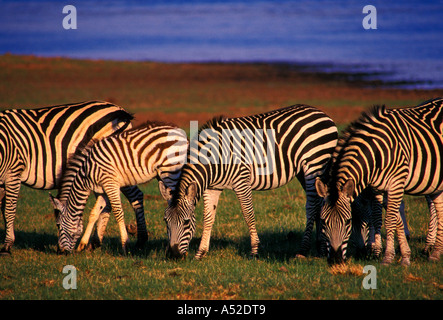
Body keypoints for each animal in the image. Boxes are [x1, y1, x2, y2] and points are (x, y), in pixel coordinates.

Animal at [0, 101, 149, 254]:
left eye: (58, 224)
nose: (61, 252)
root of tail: (118, 109)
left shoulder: (14, 171)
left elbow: (9, 209)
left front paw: (7, 246)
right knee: (108, 202)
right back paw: (95, 243)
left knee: (136, 195)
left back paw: (140, 240)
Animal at [49, 121, 188, 254]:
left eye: (58, 225)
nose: (60, 251)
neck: (87, 173)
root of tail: (181, 132)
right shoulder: (103, 189)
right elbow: (94, 213)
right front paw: (82, 245)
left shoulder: (110, 183)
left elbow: (118, 212)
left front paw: (125, 245)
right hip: (163, 175)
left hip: (171, 172)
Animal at [161, 105, 338, 260]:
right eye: (166, 222)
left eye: (186, 222)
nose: (173, 255)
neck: (214, 161)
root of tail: (322, 113)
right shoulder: (212, 188)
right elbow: (208, 217)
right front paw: (201, 253)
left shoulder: (241, 181)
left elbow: (248, 215)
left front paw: (254, 252)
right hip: (304, 171)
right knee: (319, 203)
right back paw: (321, 248)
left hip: (315, 164)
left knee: (312, 206)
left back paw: (303, 251)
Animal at [316, 97, 443, 264]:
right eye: (323, 221)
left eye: (348, 221)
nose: (336, 260)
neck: (377, 154)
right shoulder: (378, 188)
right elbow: (384, 218)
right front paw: (404, 256)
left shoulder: (396, 183)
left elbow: (389, 220)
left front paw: (388, 257)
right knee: (439, 210)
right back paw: (436, 253)